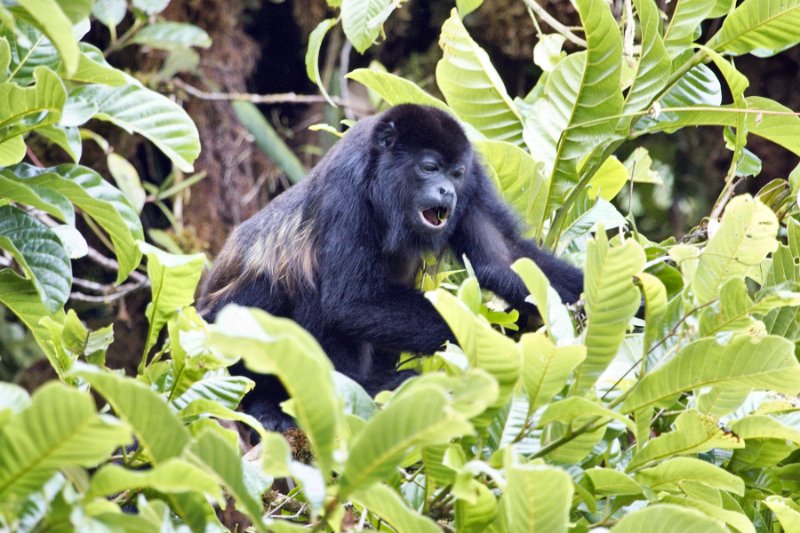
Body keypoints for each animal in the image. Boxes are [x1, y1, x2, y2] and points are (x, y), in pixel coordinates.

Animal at [198, 105, 580, 432]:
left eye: (455, 173)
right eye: (429, 168)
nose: (447, 191)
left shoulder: (474, 182)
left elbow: (503, 258)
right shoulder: (345, 188)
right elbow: (351, 302)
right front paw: (486, 334)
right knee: (296, 285)